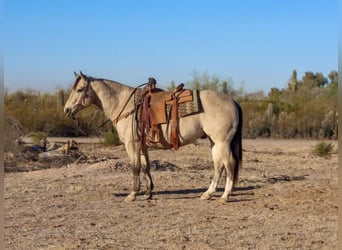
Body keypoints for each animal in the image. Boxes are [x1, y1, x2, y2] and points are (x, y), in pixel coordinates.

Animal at [63, 71, 240, 202]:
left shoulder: (132, 144)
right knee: (219, 165)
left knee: (229, 164)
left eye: (79, 90)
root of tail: (233, 101)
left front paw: (133, 194)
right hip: (214, 142)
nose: (66, 110)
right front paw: (148, 193)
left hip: (222, 142)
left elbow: (135, 167)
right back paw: (207, 194)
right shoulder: (142, 145)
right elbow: (145, 166)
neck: (125, 105)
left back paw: (225, 196)